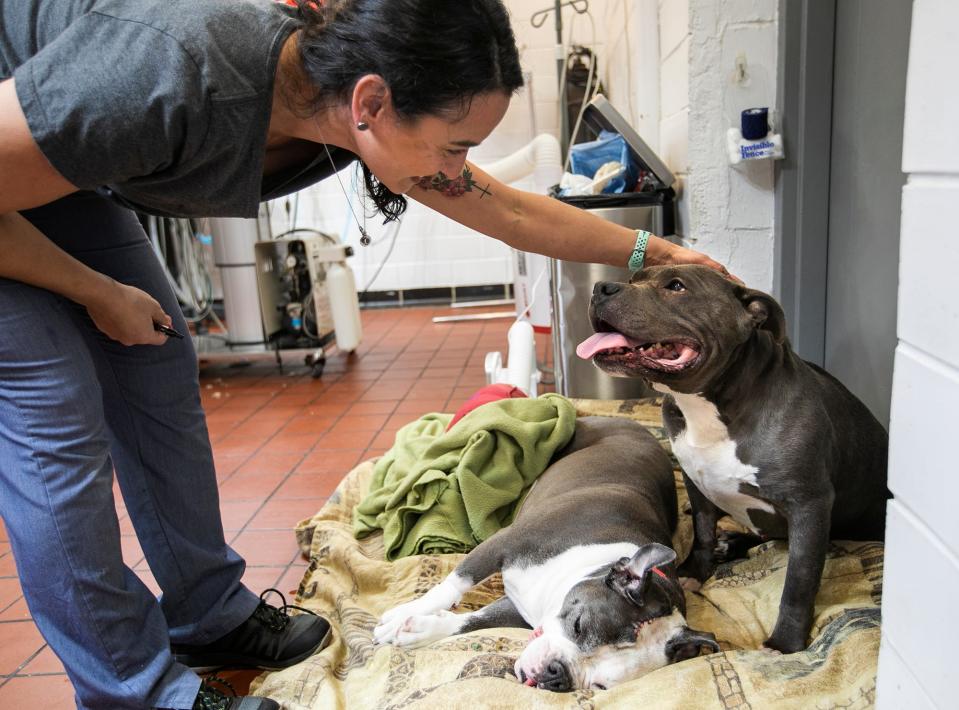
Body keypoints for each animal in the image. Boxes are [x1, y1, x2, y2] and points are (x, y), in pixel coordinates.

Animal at [376, 420, 720, 692]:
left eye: (599, 686)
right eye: (579, 626)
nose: (555, 674)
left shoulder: (520, 608)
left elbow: (476, 620)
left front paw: (422, 630)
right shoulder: (505, 544)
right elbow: (454, 583)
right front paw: (401, 615)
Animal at [576, 266, 892, 656]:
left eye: (676, 286)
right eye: (635, 276)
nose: (601, 287)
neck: (708, 406)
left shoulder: (809, 505)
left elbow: (799, 581)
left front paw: (785, 643)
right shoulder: (696, 482)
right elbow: (702, 531)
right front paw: (695, 570)